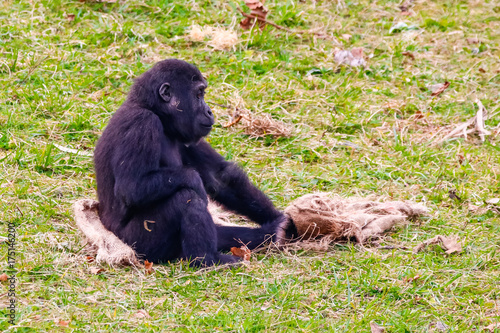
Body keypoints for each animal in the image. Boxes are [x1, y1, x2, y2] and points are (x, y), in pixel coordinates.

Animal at [94, 58, 292, 266]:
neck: (153, 109)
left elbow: (220, 177)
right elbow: (132, 187)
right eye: (198, 94)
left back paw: (266, 235)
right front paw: (194, 180)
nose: (209, 111)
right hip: (137, 246)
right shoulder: (142, 123)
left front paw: (282, 220)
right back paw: (207, 260)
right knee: (185, 197)